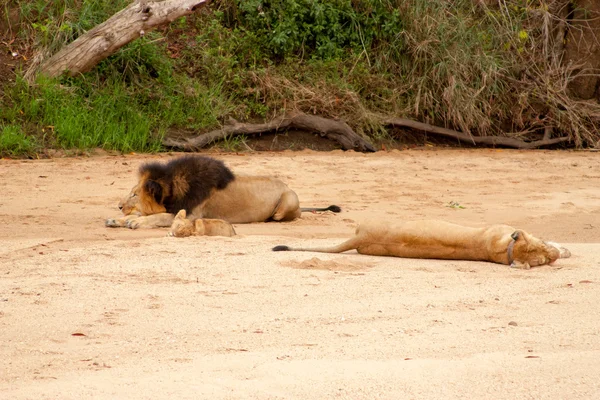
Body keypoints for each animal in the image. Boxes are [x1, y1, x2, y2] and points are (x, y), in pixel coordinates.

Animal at [105, 155, 340, 230]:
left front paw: (134, 222)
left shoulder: (190, 215)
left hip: (287, 201)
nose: (119, 205)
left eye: (135, 194)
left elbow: (158, 217)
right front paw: (116, 219)